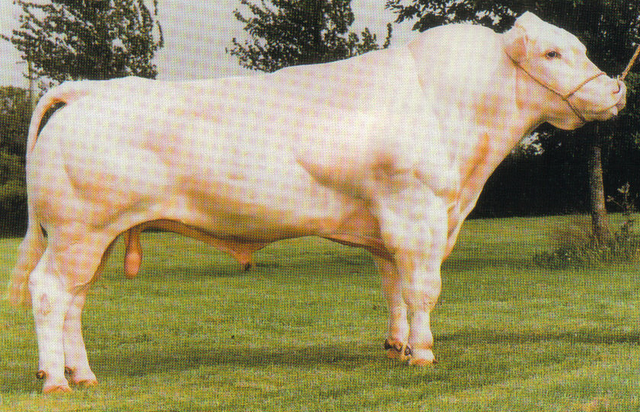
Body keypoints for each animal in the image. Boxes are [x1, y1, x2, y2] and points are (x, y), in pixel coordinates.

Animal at [7, 12, 626, 393]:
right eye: (553, 53)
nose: (615, 89)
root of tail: (89, 89)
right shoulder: (418, 212)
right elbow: (422, 288)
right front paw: (425, 353)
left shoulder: (391, 227)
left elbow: (393, 287)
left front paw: (399, 346)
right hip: (79, 232)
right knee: (50, 293)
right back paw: (57, 380)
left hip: (91, 236)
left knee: (73, 301)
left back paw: (81, 373)